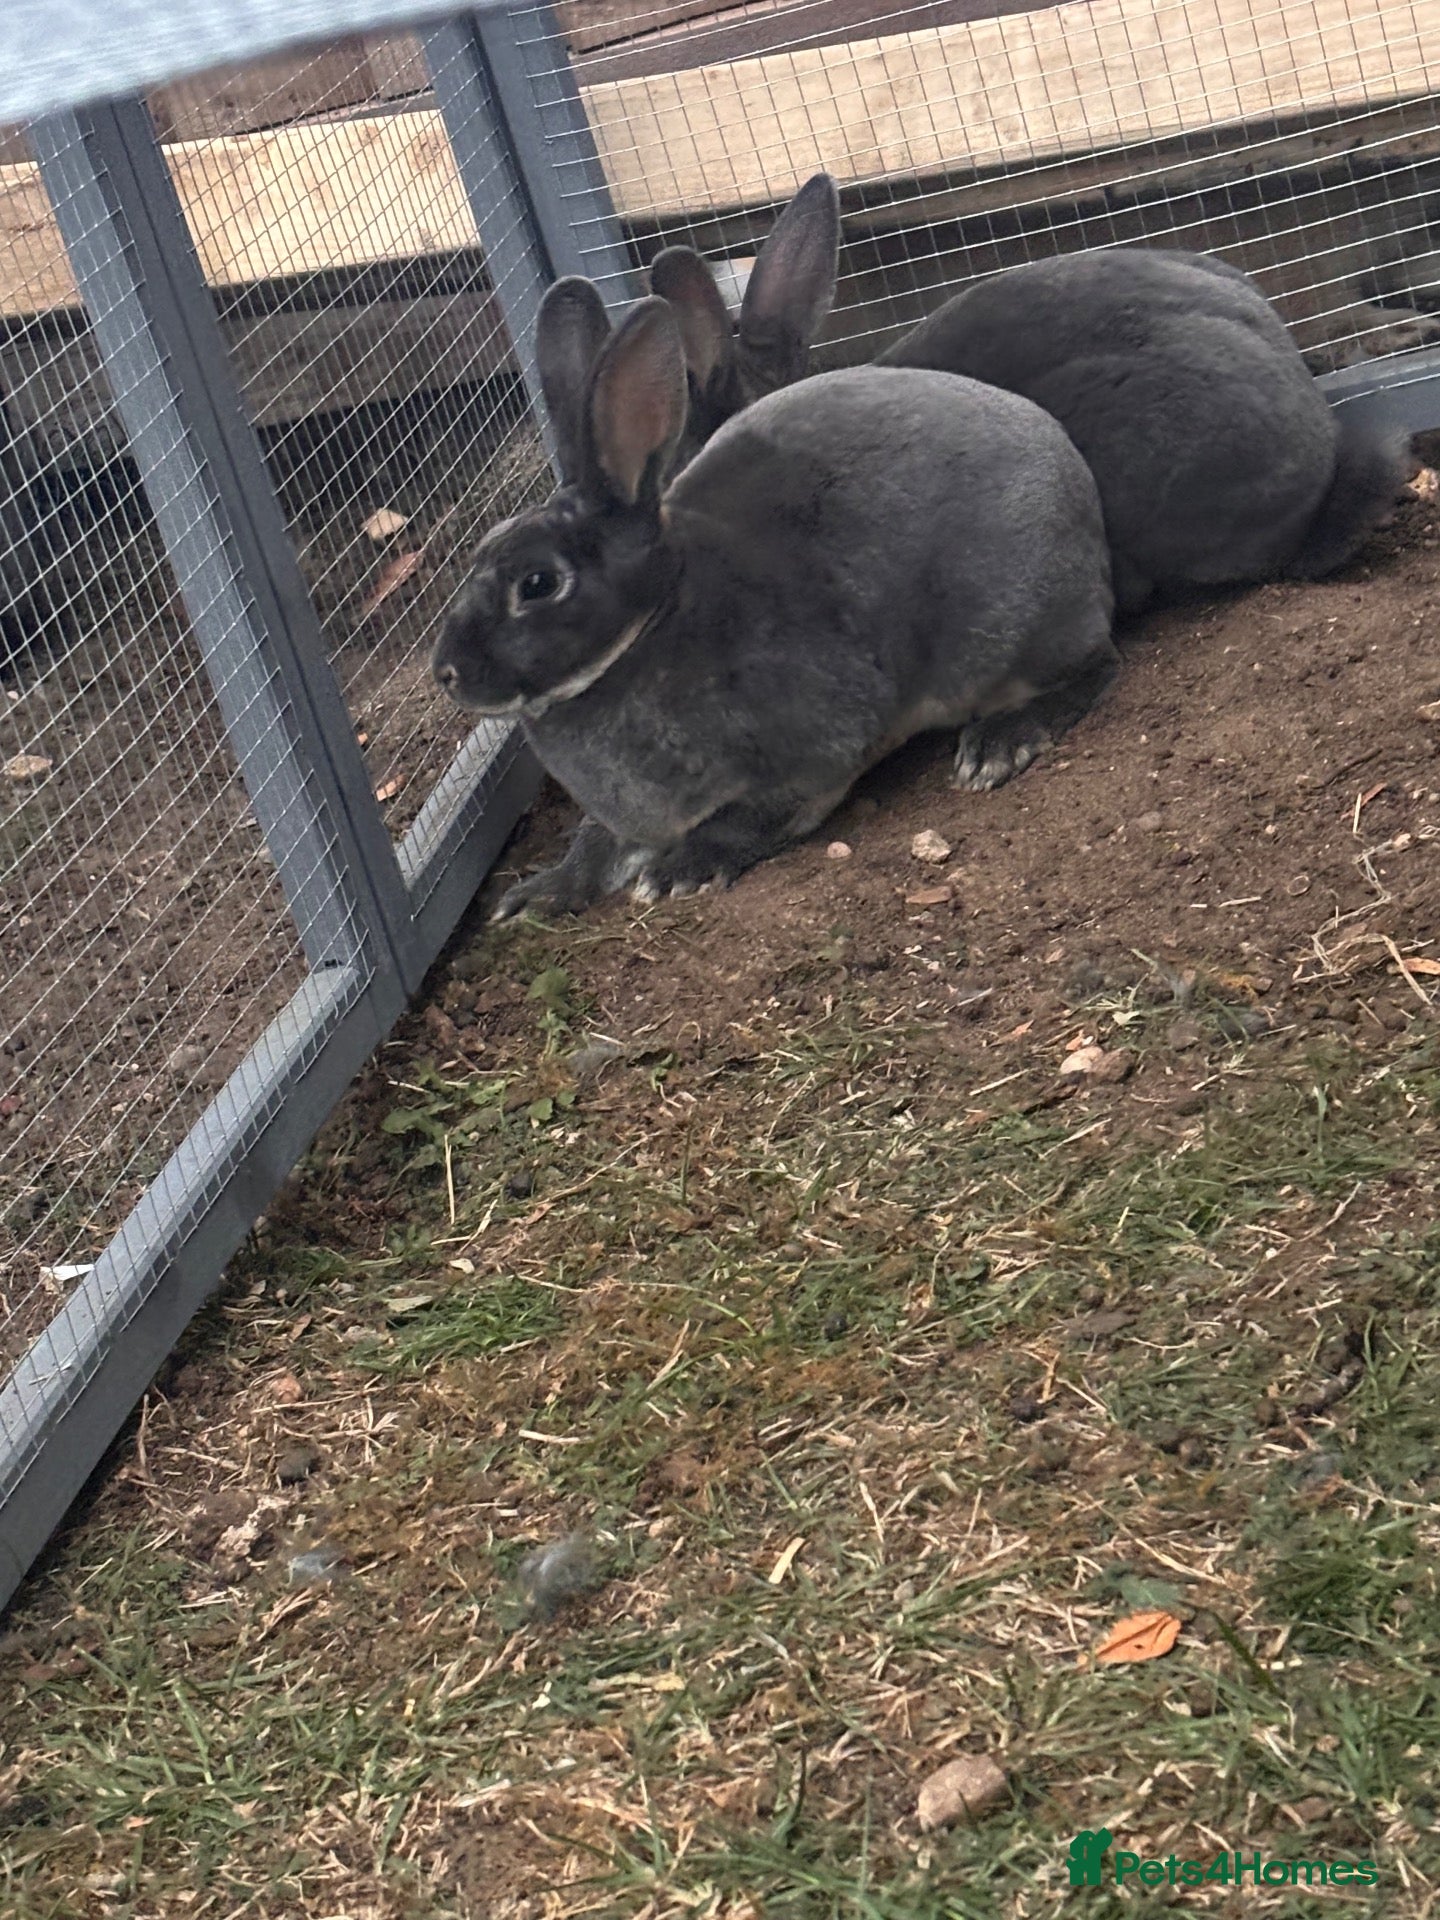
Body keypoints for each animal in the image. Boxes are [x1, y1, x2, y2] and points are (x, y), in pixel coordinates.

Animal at [432, 294, 1117, 919]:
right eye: (481, 552)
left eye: (538, 582)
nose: (447, 674)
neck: (649, 627)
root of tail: (1066, 464)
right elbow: (594, 846)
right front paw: (537, 895)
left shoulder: (808, 751)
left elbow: (750, 818)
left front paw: (682, 871)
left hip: (1013, 626)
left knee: (1092, 667)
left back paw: (999, 743)